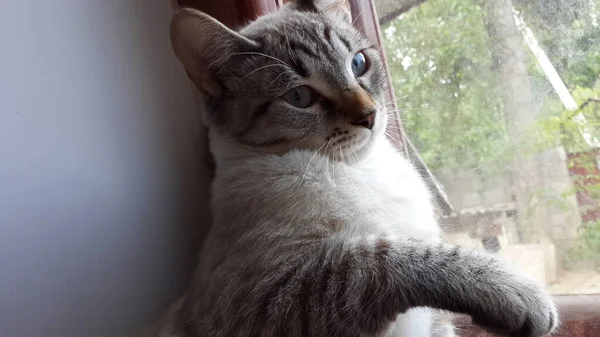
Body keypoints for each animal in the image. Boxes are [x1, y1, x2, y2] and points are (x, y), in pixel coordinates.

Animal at [144, 0, 556, 336]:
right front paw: (519, 293)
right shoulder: (269, 298)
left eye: (358, 63)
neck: (359, 170)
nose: (370, 115)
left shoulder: (434, 323)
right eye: (300, 97)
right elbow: (393, 256)